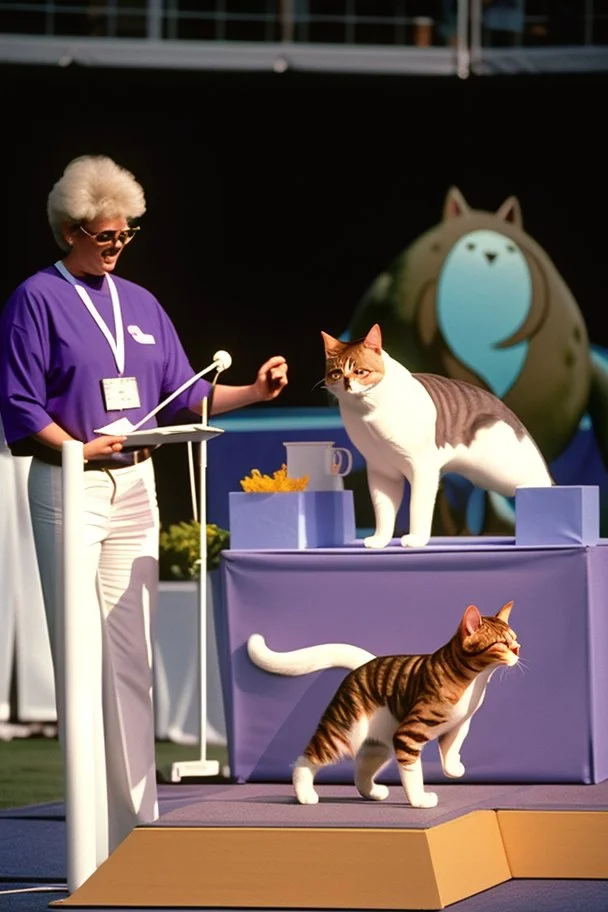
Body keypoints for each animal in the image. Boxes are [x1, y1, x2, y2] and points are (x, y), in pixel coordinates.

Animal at [247, 604, 516, 808]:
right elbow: (413, 774)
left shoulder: (458, 727)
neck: (475, 681)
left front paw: (455, 769)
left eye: (515, 640)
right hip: (343, 734)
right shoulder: (408, 736)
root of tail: (364, 665)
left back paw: (373, 793)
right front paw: (419, 801)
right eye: (502, 644)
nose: (518, 650)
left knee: (361, 772)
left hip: (378, 745)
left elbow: (450, 752)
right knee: (306, 760)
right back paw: (305, 795)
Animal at [320, 322, 552, 548]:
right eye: (336, 373)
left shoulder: (423, 467)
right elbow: (383, 509)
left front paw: (416, 540)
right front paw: (380, 540)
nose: (346, 384)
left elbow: (417, 507)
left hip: (507, 470)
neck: (366, 412)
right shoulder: (382, 470)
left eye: (360, 372)